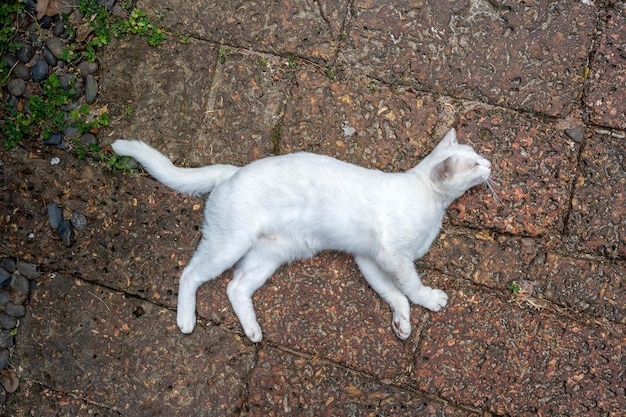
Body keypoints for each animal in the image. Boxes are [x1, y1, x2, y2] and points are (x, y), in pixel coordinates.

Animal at [113, 129, 492, 342]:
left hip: (270, 256)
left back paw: (253, 332)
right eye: (474, 164)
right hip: (228, 245)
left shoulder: (369, 259)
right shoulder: (392, 256)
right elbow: (410, 287)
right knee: (190, 273)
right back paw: (186, 320)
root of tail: (231, 172)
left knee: (235, 287)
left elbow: (394, 294)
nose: (490, 164)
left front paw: (401, 324)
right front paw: (429, 300)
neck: (432, 200)